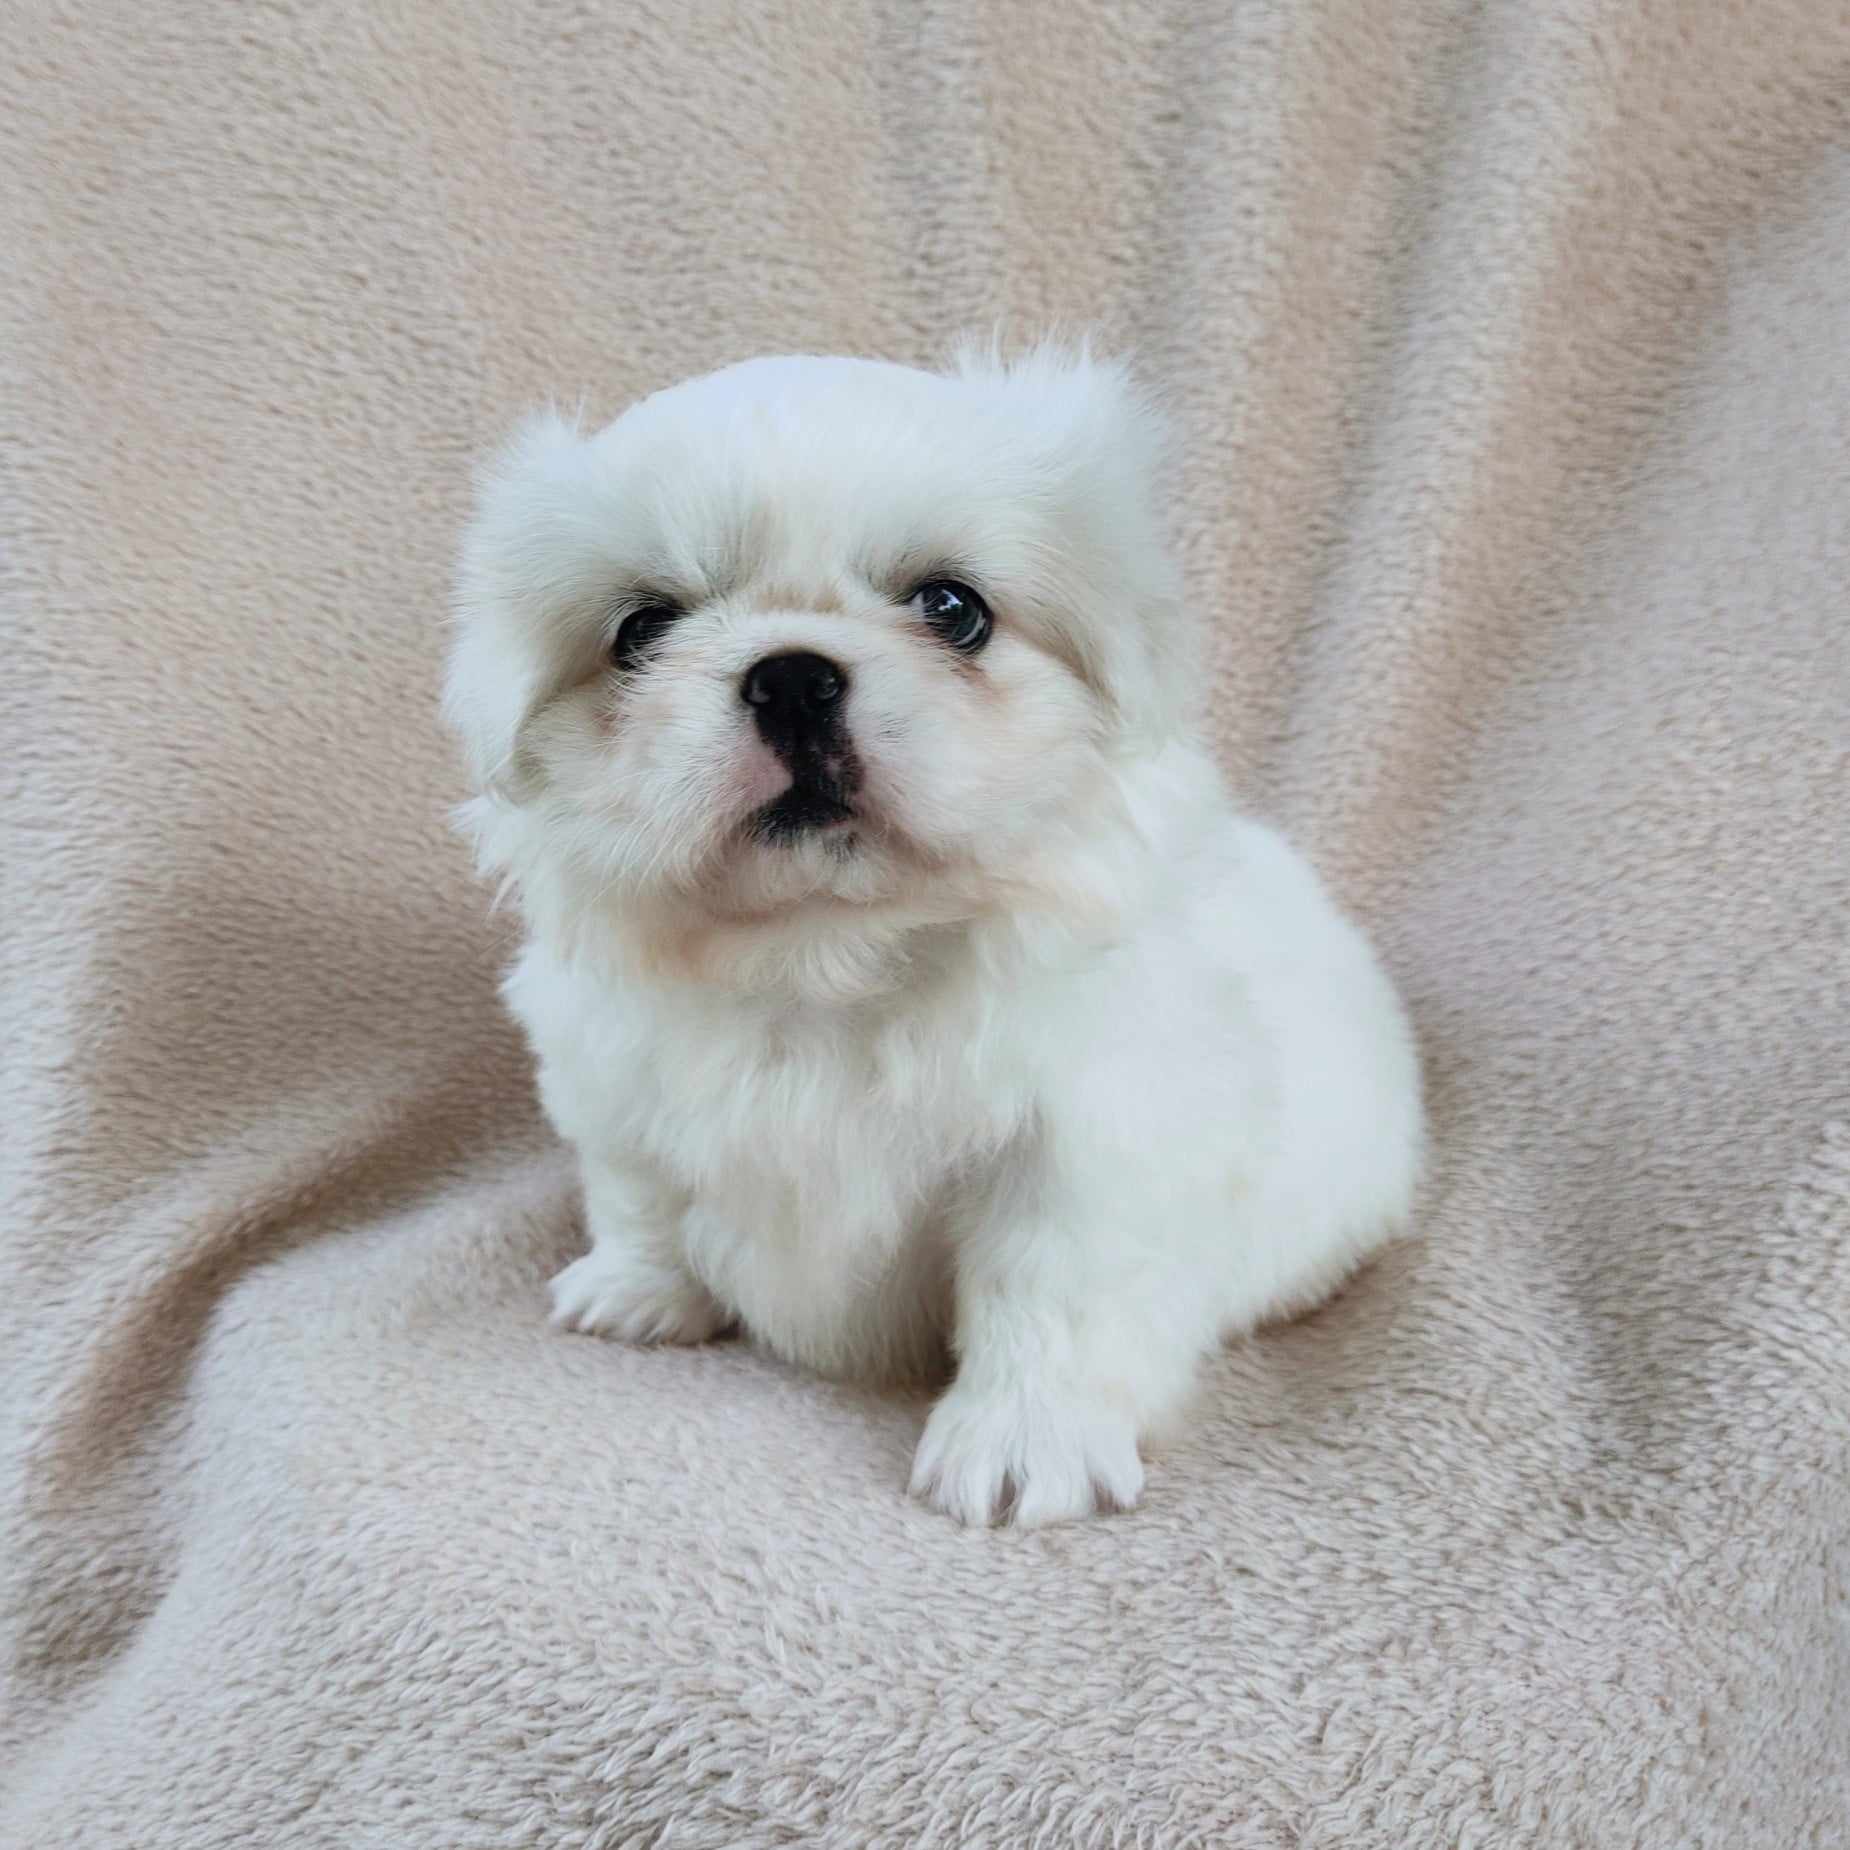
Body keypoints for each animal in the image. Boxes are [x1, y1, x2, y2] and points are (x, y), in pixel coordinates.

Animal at [445, 342, 1423, 1526]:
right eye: (641, 631)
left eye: (953, 609)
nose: (791, 673)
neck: (826, 955)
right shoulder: (609, 1081)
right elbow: (641, 1194)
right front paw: (641, 1291)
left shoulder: (1086, 1142)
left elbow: (1045, 1290)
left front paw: (1022, 1441)